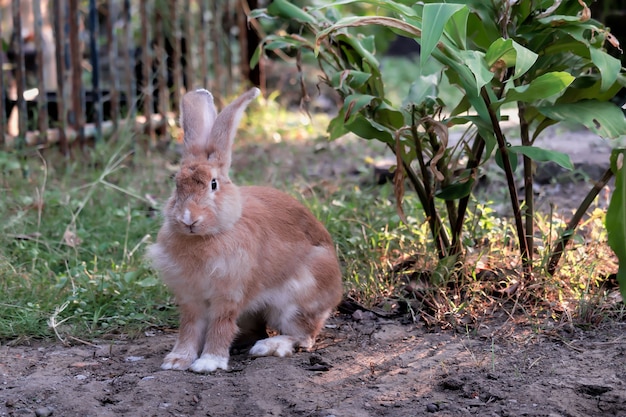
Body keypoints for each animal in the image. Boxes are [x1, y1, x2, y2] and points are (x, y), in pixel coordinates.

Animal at [146, 88, 342, 374]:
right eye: (176, 184)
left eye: (213, 184)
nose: (189, 219)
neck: (208, 236)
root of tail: (336, 292)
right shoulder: (191, 299)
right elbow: (189, 327)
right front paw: (177, 360)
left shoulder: (228, 294)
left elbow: (220, 324)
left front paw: (208, 362)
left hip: (296, 301)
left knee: (302, 336)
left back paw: (269, 347)